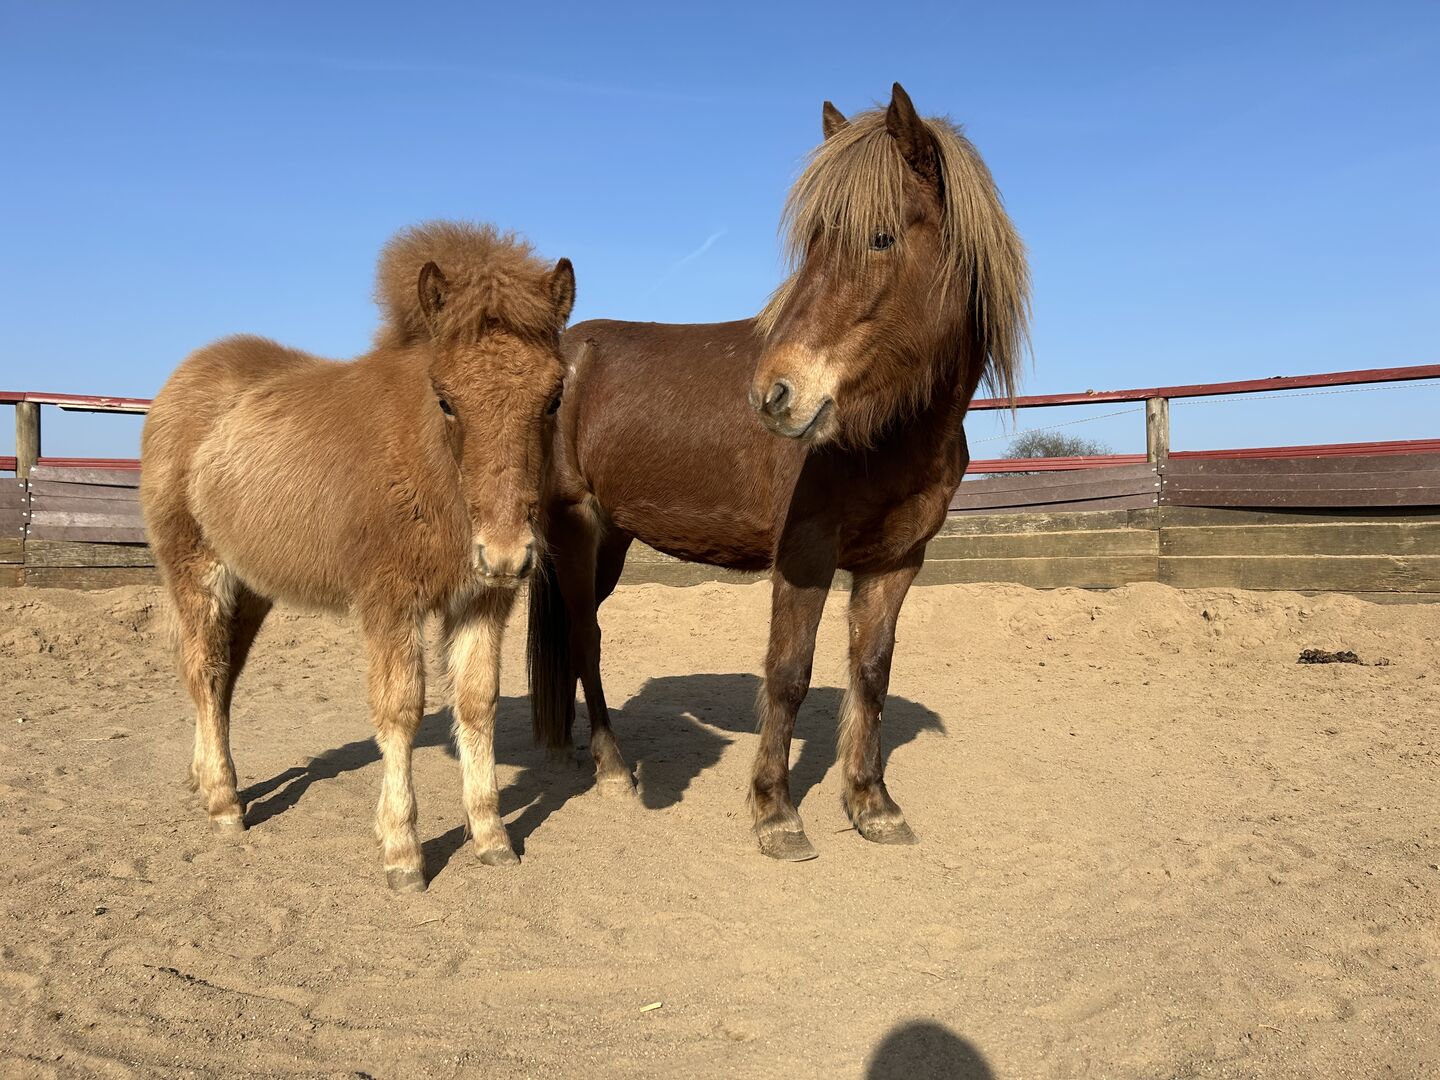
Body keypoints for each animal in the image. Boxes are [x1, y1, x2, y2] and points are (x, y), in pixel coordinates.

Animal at [140, 221, 575, 892]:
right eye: (445, 398)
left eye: (553, 397)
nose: (506, 552)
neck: (427, 466)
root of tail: (180, 383)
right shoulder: (389, 602)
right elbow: (399, 711)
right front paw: (402, 852)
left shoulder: (483, 601)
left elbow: (477, 703)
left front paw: (491, 836)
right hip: (196, 569)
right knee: (204, 669)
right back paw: (223, 803)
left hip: (252, 587)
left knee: (222, 677)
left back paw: (206, 777)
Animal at [528, 84, 1029, 861]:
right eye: (816, 243)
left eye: (880, 238)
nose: (774, 394)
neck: (884, 434)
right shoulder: (804, 554)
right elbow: (789, 674)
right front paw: (775, 812)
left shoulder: (897, 562)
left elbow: (870, 674)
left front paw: (872, 803)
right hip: (575, 530)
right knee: (586, 637)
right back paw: (613, 771)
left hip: (612, 538)